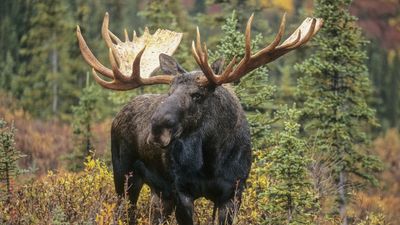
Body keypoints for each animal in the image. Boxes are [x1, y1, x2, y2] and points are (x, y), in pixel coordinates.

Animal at [76, 11, 324, 225]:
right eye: (169, 92)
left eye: (197, 95)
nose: (156, 130)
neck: (212, 159)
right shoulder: (181, 191)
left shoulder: (233, 192)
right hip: (124, 175)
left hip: (159, 192)